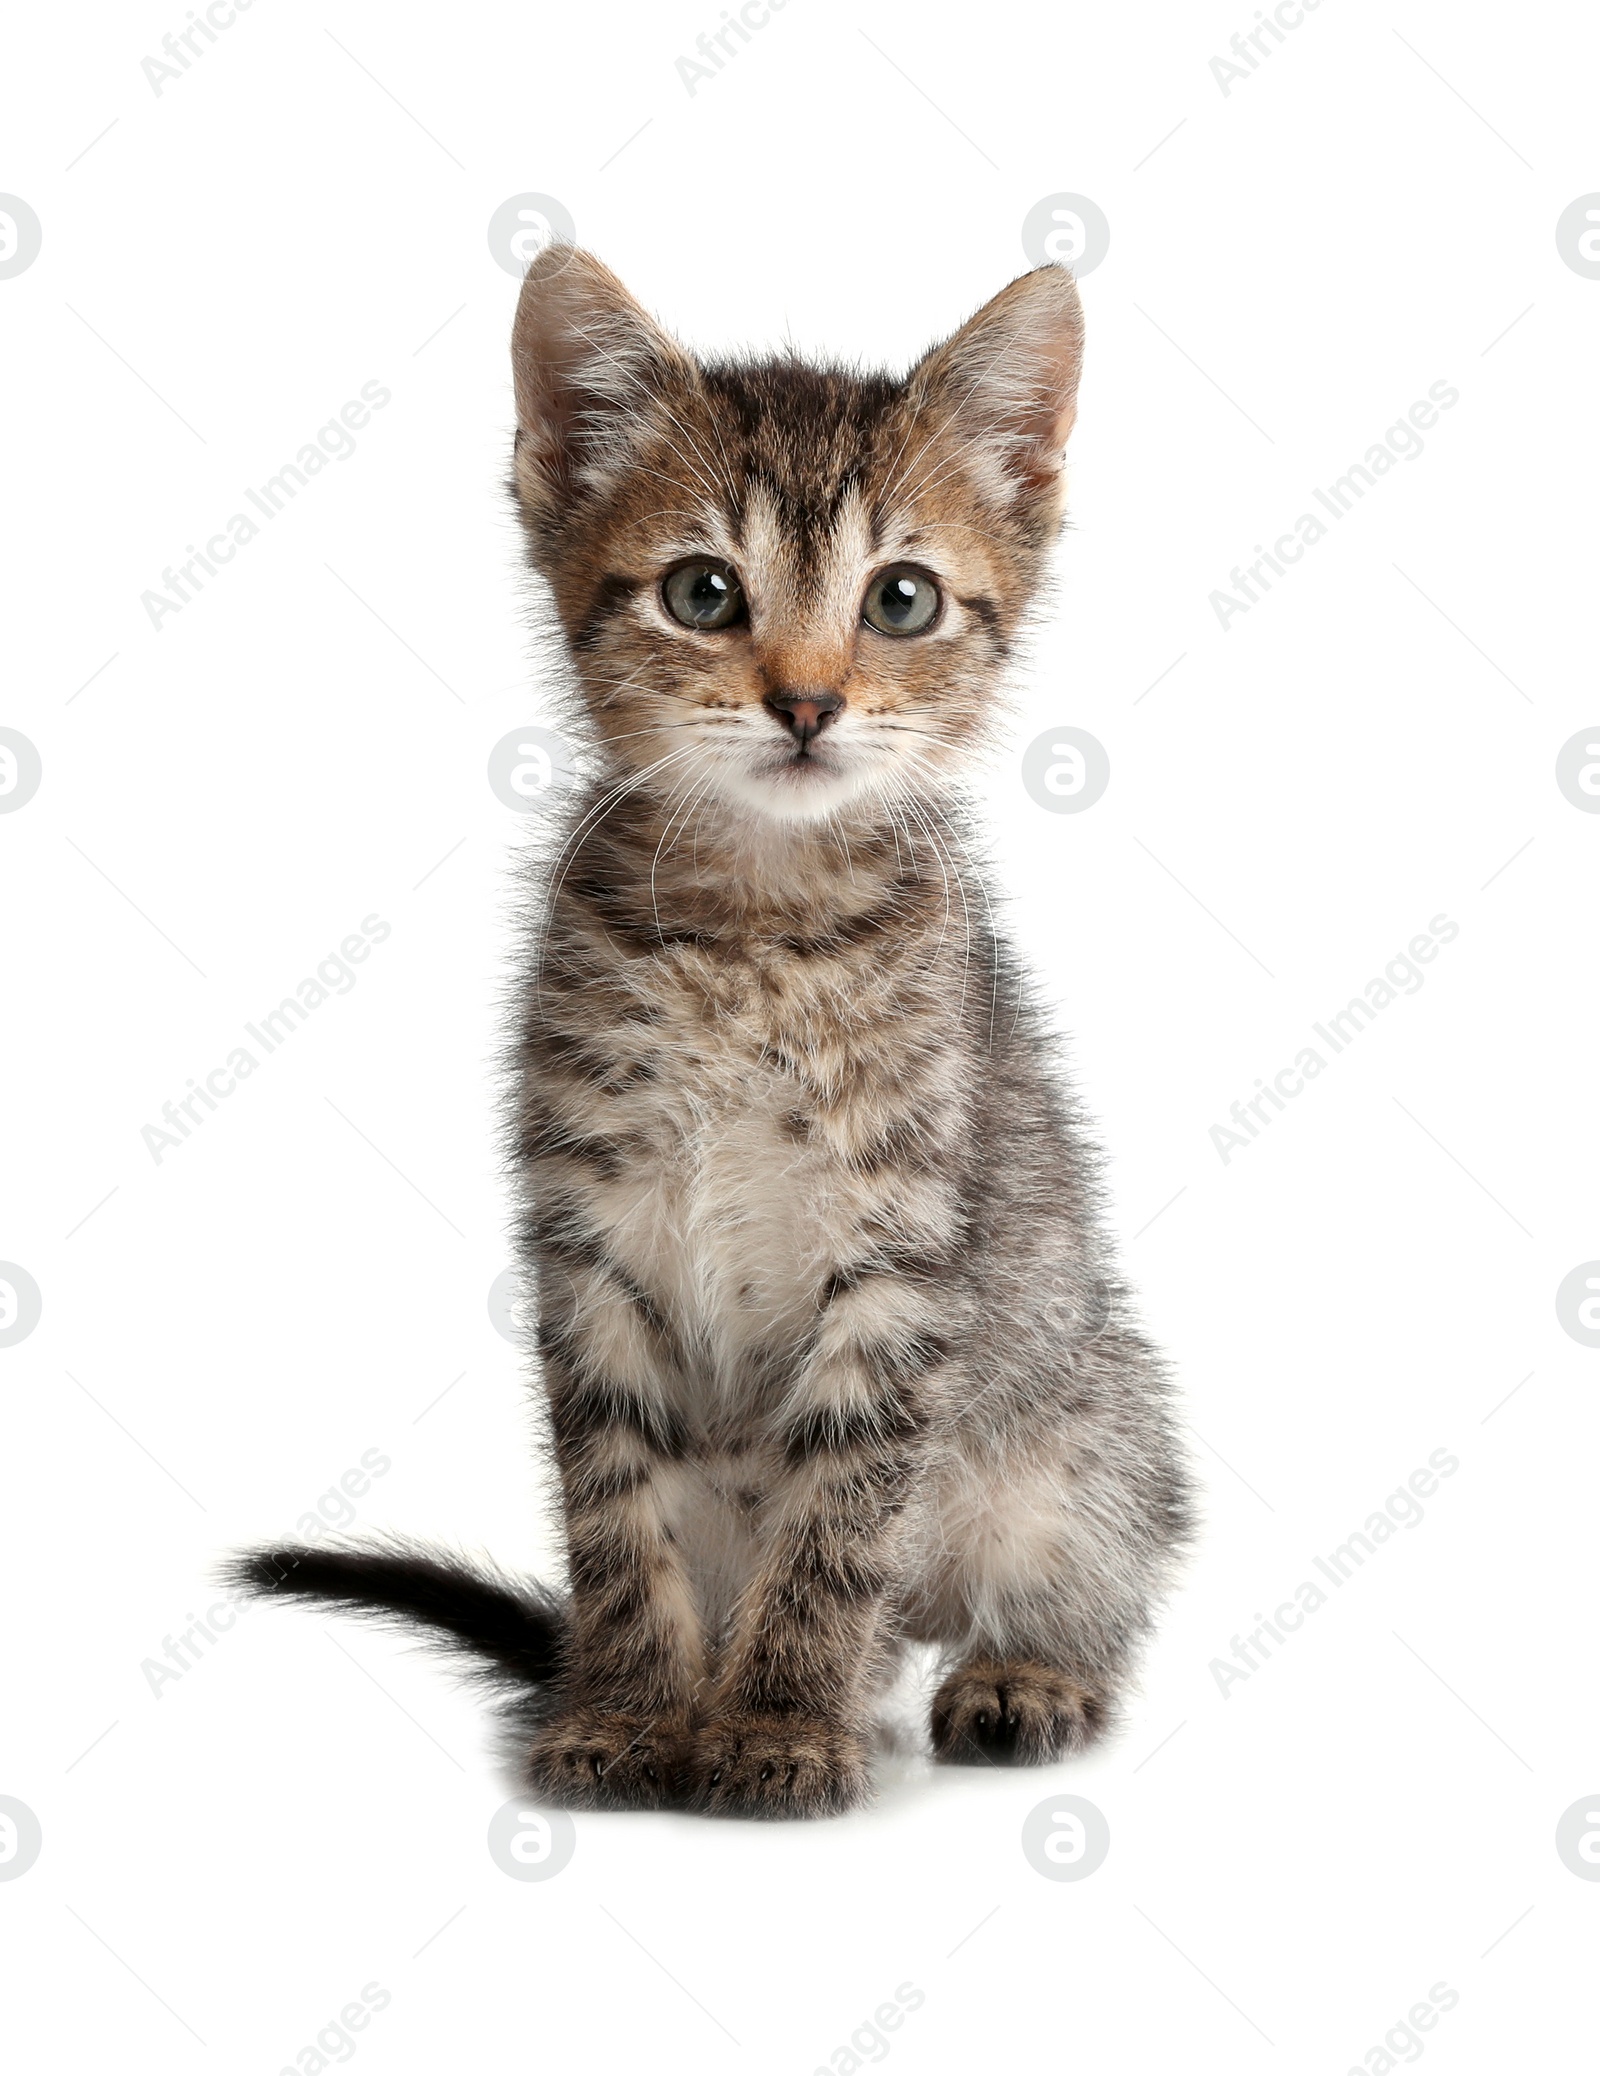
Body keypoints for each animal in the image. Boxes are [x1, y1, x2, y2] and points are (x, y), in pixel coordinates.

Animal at [231, 242, 1195, 1818]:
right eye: (702, 591)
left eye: (902, 599)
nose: (805, 702)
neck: (761, 925)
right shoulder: (592, 1241)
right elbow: (616, 1511)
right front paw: (632, 1709)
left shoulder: (901, 1263)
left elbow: (841, 1518)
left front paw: (782, 1721)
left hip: (1081, 1423)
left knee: (1080, 1562)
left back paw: (1018, 1670)